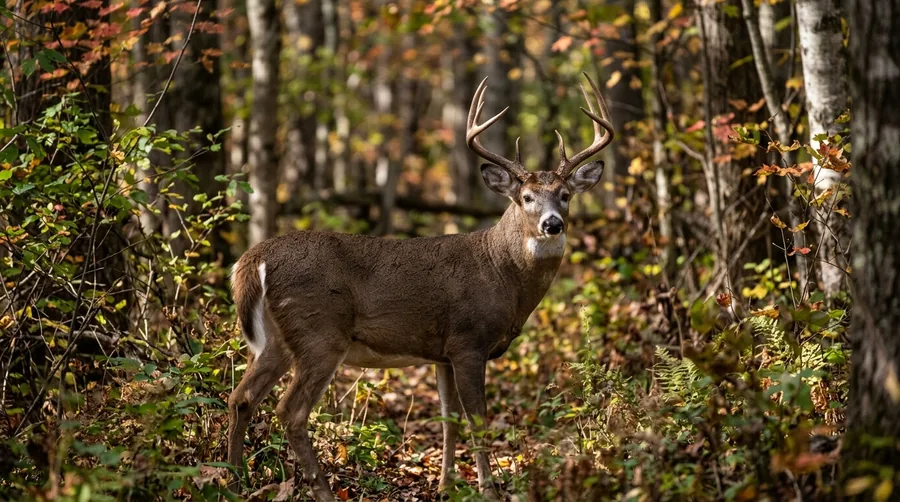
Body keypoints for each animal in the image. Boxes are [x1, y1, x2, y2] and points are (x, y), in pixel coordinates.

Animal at [226, 73, 614, 501]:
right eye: (526, 197)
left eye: (565, 195)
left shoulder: (441, 353)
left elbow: (448, 417)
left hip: (277, 339)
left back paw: (233, 479)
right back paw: (320, 490)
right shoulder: (468, 341)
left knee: (241, 397)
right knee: (290, 411)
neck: (501, 272)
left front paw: (446, 483)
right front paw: (487, 488)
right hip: (319, 332)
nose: (552, 224)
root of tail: (253, 259)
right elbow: (477, 420)